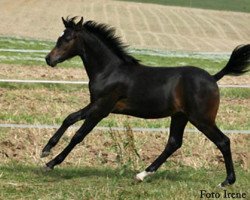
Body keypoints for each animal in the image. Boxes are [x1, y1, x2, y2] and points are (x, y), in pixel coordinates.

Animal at [42, 16, 249, 187]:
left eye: (67, 39)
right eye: (60, 38)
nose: (49, 59)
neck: (110, 71)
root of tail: (213, 78)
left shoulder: (101, 108)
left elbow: (79, 135)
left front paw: (50, 162)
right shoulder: (96, 105)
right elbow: (69, 118)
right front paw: (46, 150)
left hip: (201, 119)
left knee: (223, 141)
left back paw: (227, 181)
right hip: (180, 116)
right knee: (174, 143)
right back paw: (142, 175)